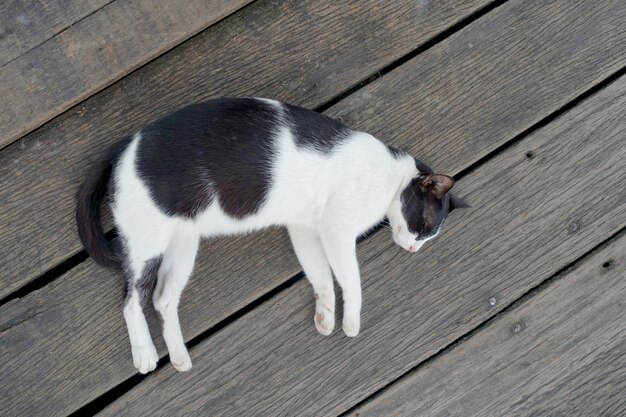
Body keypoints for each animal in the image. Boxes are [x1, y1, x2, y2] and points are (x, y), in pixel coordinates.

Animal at [75, 97, 466, 374]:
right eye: (425, 226)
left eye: (429, 238)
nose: (414, 248)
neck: (389, 178)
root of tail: (126, 143)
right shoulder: (336, 228)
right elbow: (351, 280)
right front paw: (351, 321)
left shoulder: (305, 228)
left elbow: (321, 276)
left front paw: (326, 315)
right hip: (148, 242)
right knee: (131, 298)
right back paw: (144, 352)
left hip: (182, 247)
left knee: (162, 299)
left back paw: (179, 356)